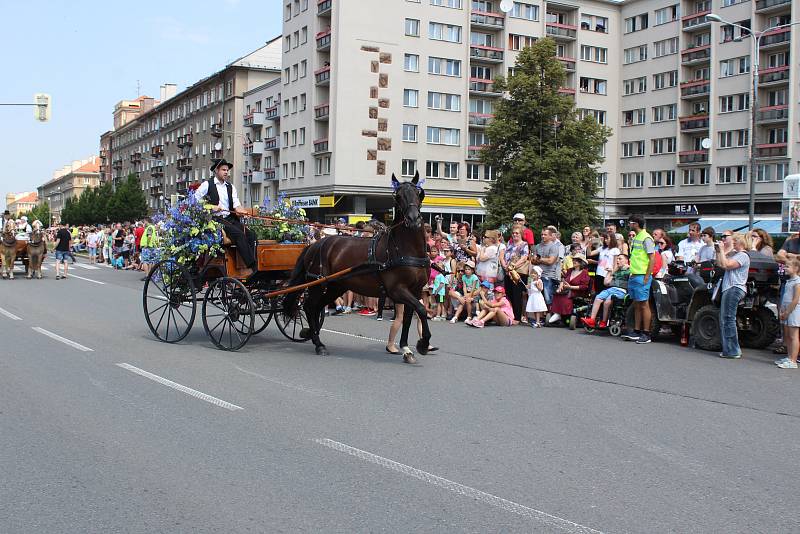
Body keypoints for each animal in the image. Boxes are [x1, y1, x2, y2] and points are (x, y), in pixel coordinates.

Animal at [282, 172, 432, 364]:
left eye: (418, 193)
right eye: (398, 196)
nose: (413, 219)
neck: (405, 250)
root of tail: (315, 244)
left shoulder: (415, 290)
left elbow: (408, 318)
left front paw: (407, 349)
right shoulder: (398, 290)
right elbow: (421, 309)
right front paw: (423, 344)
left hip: (335, 286)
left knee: (316, 307)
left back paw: (311, 333)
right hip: (318, 284)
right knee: (309, 306)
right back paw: (318, 343)